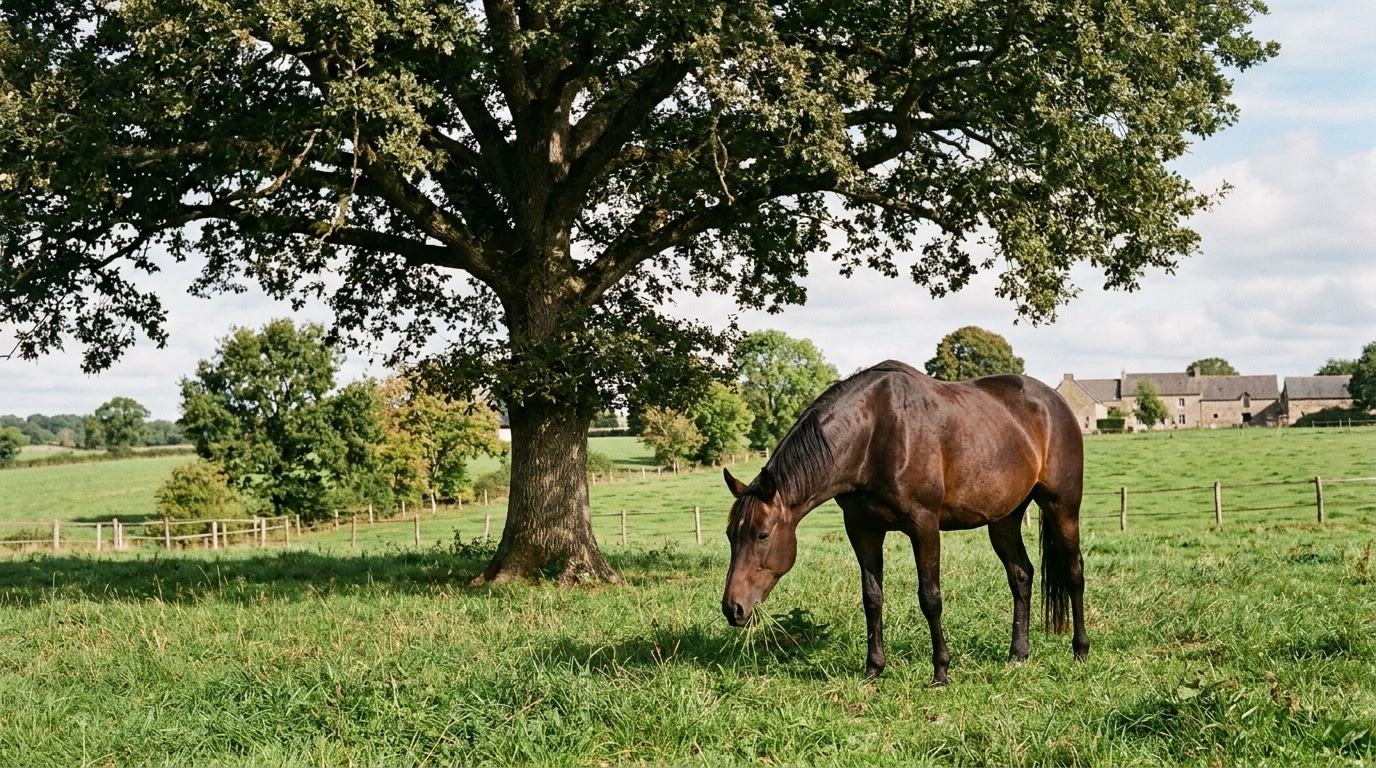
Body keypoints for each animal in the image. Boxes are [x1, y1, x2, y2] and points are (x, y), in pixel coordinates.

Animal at [721, 360, 1089, 685]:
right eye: (729, 536)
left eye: (762, 535)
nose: (732, 608)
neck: (873, 435)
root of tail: (1055, 401)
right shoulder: (862, 529)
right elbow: (872, 598)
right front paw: (873, 669)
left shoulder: (923, 525)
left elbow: (930, 598)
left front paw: (941, 671)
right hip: (1004, 518)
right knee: (1021, 576)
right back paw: (1017, 654)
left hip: (1062, 506)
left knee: (1074, 571)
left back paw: (1080, 650)